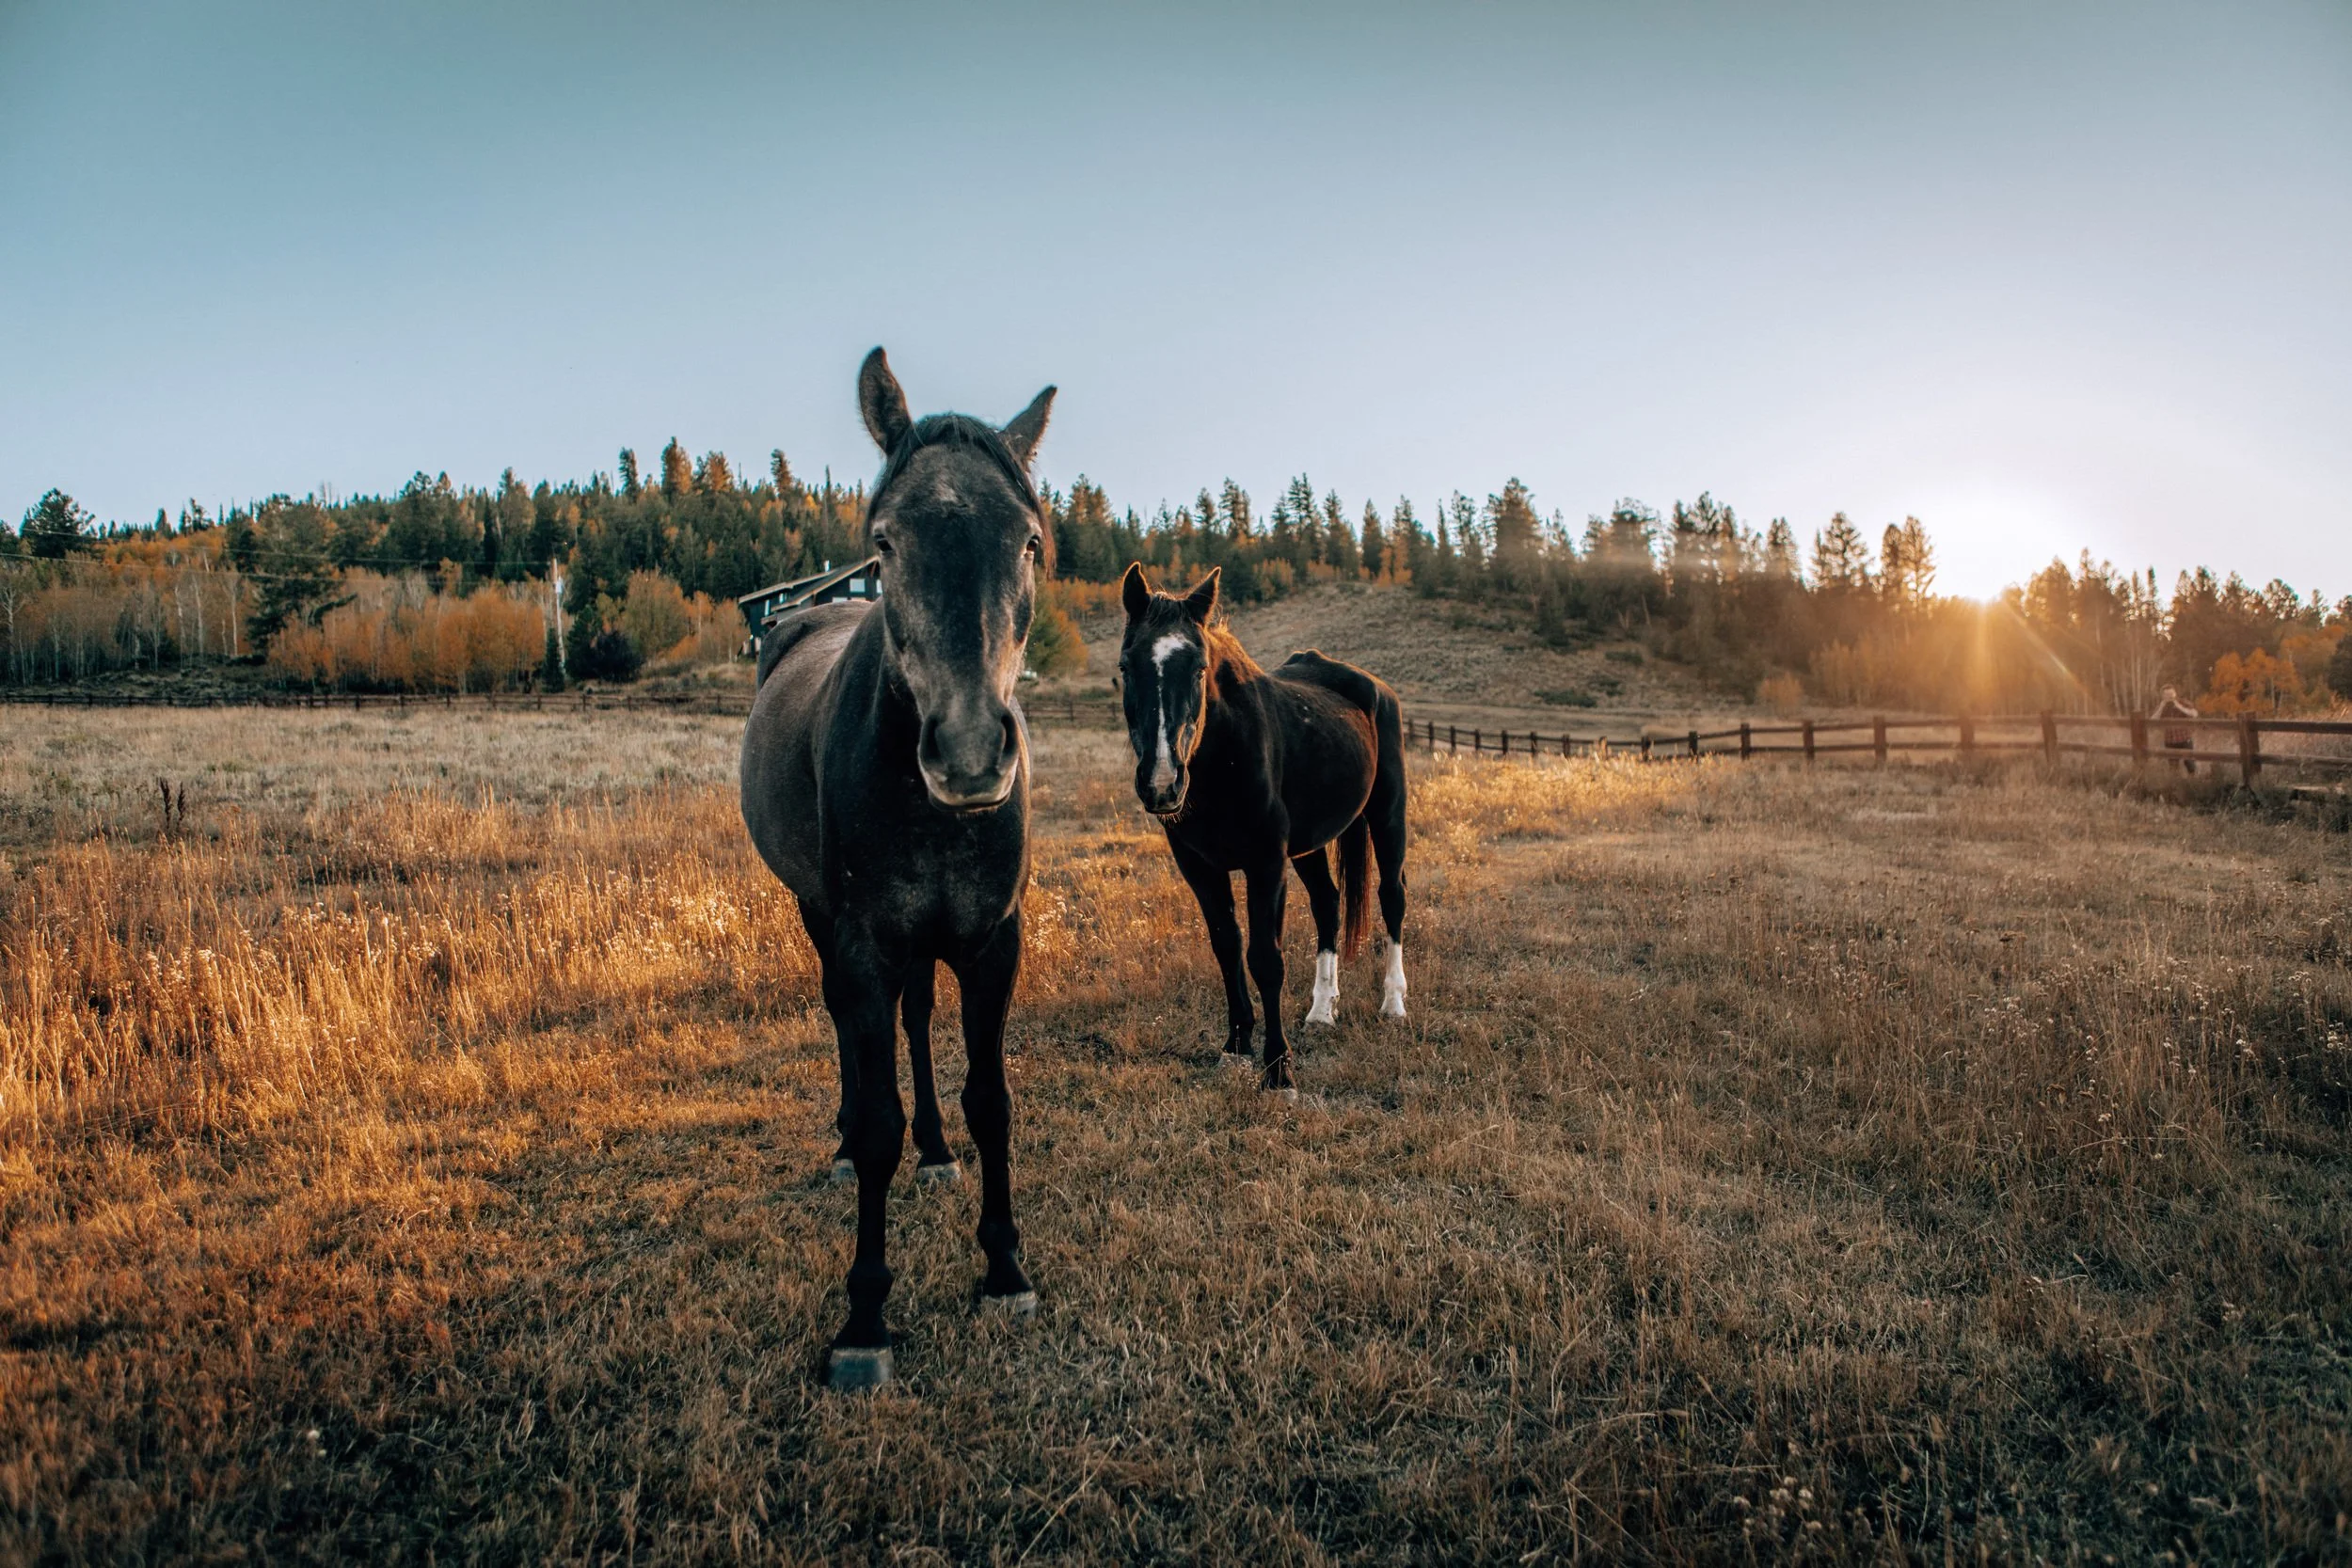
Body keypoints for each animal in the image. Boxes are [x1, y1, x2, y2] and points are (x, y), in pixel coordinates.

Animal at [741, 348, 1055, 1391]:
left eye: (1029, 541)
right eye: (883, 544)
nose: (967, 751)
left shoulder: (992, 941)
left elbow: (991, 1101)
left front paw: (1003, 1268)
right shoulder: (862, 942)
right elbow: (876, 1112)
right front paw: (864, 1320)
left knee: (917, 1024)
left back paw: (936, 1151)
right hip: (820, 919)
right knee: (850, 1031)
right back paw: (846, 1144)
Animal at [1115, 563, 1409, 1095]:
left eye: (1199, 668)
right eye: (1127, 667)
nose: (1162, 783)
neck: (1222, 761)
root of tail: (1374, 688)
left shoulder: (1266, 863)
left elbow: (1266, 959)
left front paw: (1279, 1070)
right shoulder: (1200, 868)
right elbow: (1227, 949)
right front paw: (1236, 1046)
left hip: (1387, 816)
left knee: (1392, 897)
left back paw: (1393, 1003)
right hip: (1310, 847)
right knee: (1328, 904)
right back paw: (1321, 1011)